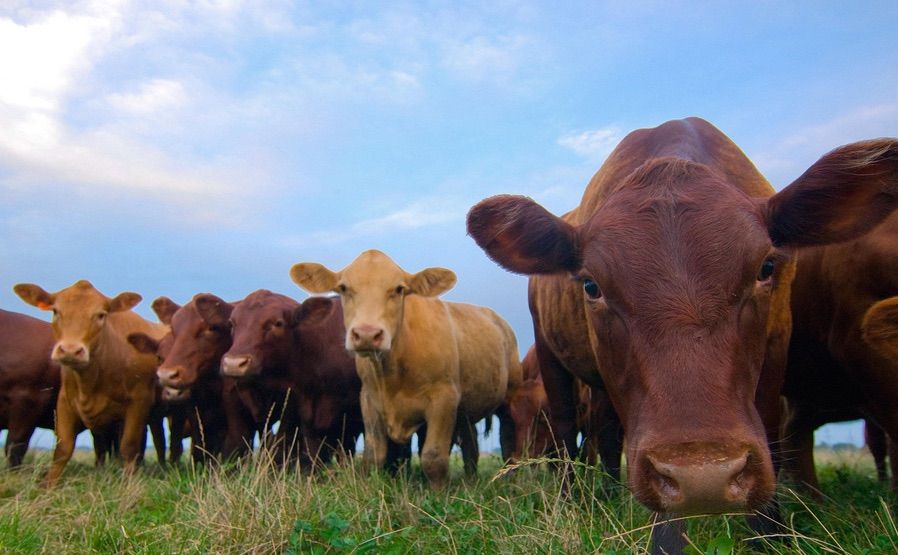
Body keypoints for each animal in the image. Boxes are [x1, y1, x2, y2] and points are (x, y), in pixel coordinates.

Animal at [13, 280, 167, 486]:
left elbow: (129, 446)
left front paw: (128, 483)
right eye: (55, 311)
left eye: (101, 315)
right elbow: (63, 448)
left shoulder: (139, 401)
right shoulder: (65, 401)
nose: (70, 350)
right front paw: (48, 484)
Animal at [290, 249, 523, 488]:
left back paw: (511, 479)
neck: (392, 372)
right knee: (471, 443)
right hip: (467, 409)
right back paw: (471, 480)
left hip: (511, 393)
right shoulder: (369, 399)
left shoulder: (444, 398)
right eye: (344, 288)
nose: (367, 334)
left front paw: (439, 493)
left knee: (507, 437)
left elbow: (433, 457)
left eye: (398, 289)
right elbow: (374, 455)